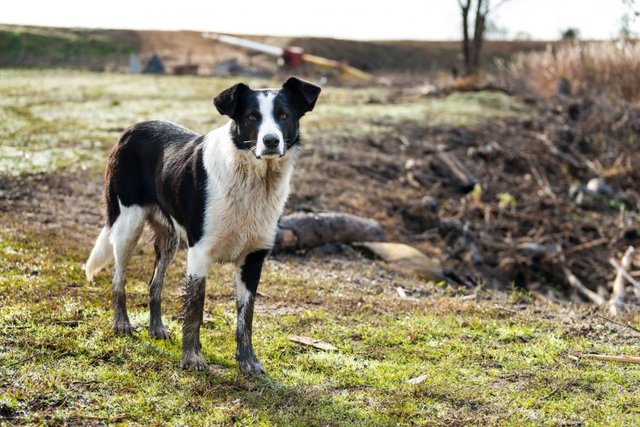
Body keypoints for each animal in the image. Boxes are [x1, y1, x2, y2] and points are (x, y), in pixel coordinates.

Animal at [85, 77, 322, 374]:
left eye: (283, 115)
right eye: (252, 117)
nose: (270, 141)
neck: (253, 179)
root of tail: (131, 129)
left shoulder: (254, 257)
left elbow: (246, 316)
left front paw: (248, 362)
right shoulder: (199, 252)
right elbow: (195, 309)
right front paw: (192, 358)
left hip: (170, 239)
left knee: (154, 283)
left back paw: (156, 329)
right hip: (127, 224)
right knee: (119, 276)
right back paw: (122, 324)